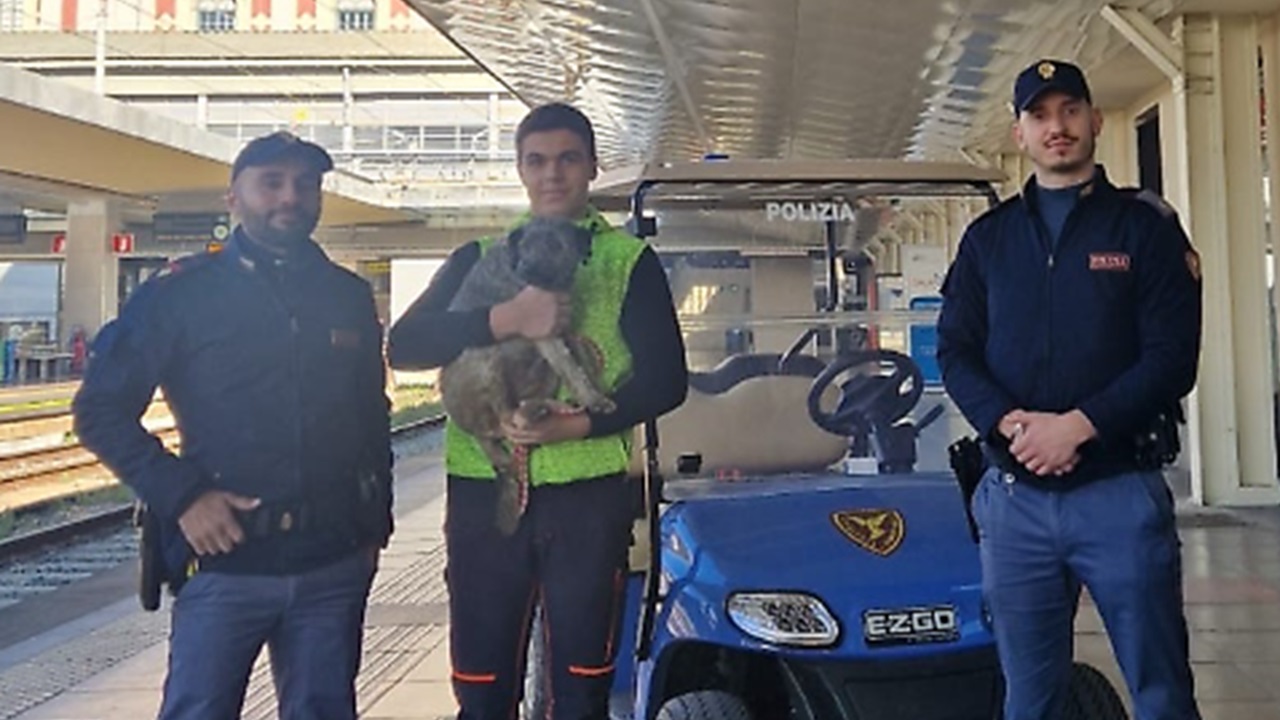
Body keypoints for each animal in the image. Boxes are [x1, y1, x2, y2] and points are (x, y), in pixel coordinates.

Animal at [442, 215, 616, 530]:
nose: (526, 270)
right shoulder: (543, 331)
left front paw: (595, 392)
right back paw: (534, 412)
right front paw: (594, 399)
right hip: (483, 357)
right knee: (508, 416)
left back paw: (546, 407)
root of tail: (476, 432)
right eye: (524, 246)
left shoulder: (563, 329)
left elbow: (580, 361)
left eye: (556, 245)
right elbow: (572, 367)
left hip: (540, 374)